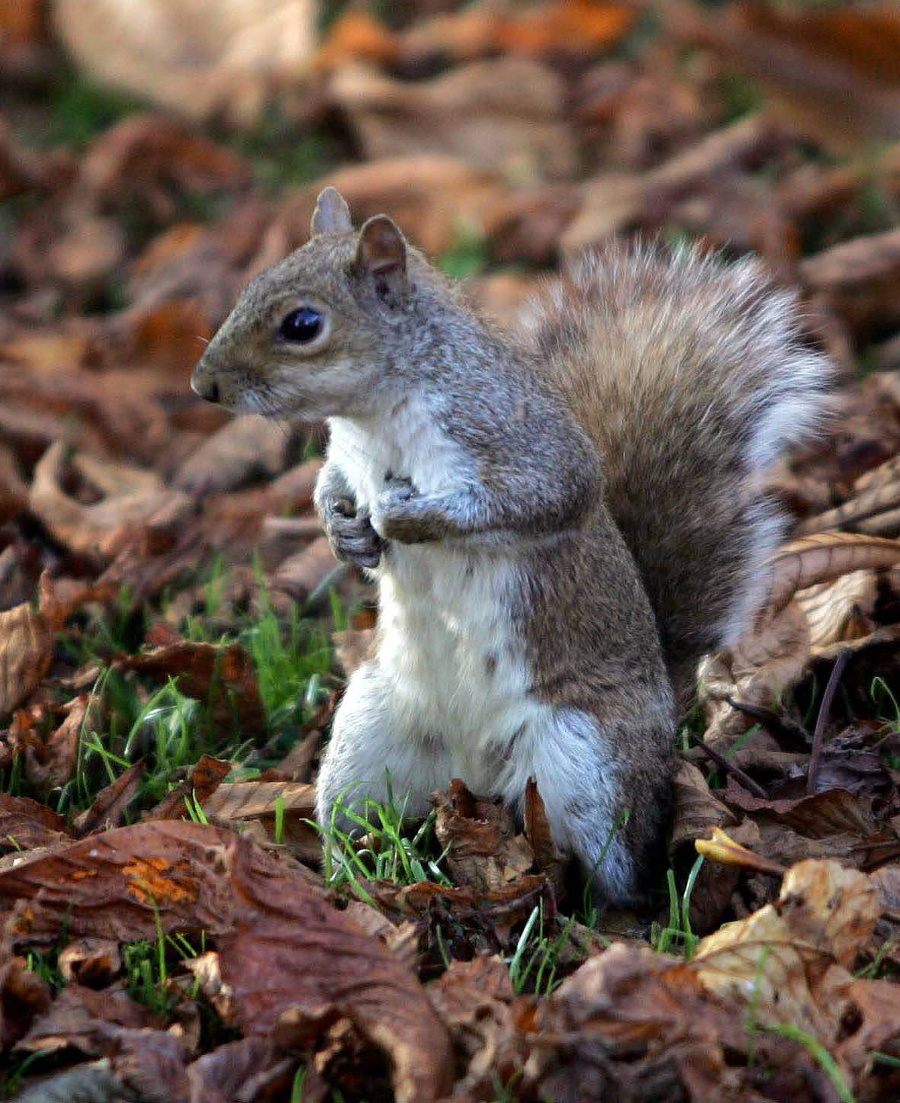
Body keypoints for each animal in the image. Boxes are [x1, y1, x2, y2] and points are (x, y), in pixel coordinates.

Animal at [189, 189, 829, 904]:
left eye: (302, 324)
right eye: (250, 287)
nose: (204, 386)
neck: (377, 418)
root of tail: (474, 772)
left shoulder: (520, 444)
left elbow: (537, 498)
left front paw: (407, 517)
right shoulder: (346, 454)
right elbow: (330, 482)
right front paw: (341, 528)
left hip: (586, 761)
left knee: (616, 870)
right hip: (365, 741)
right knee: (358, 819)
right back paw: (347, 879)